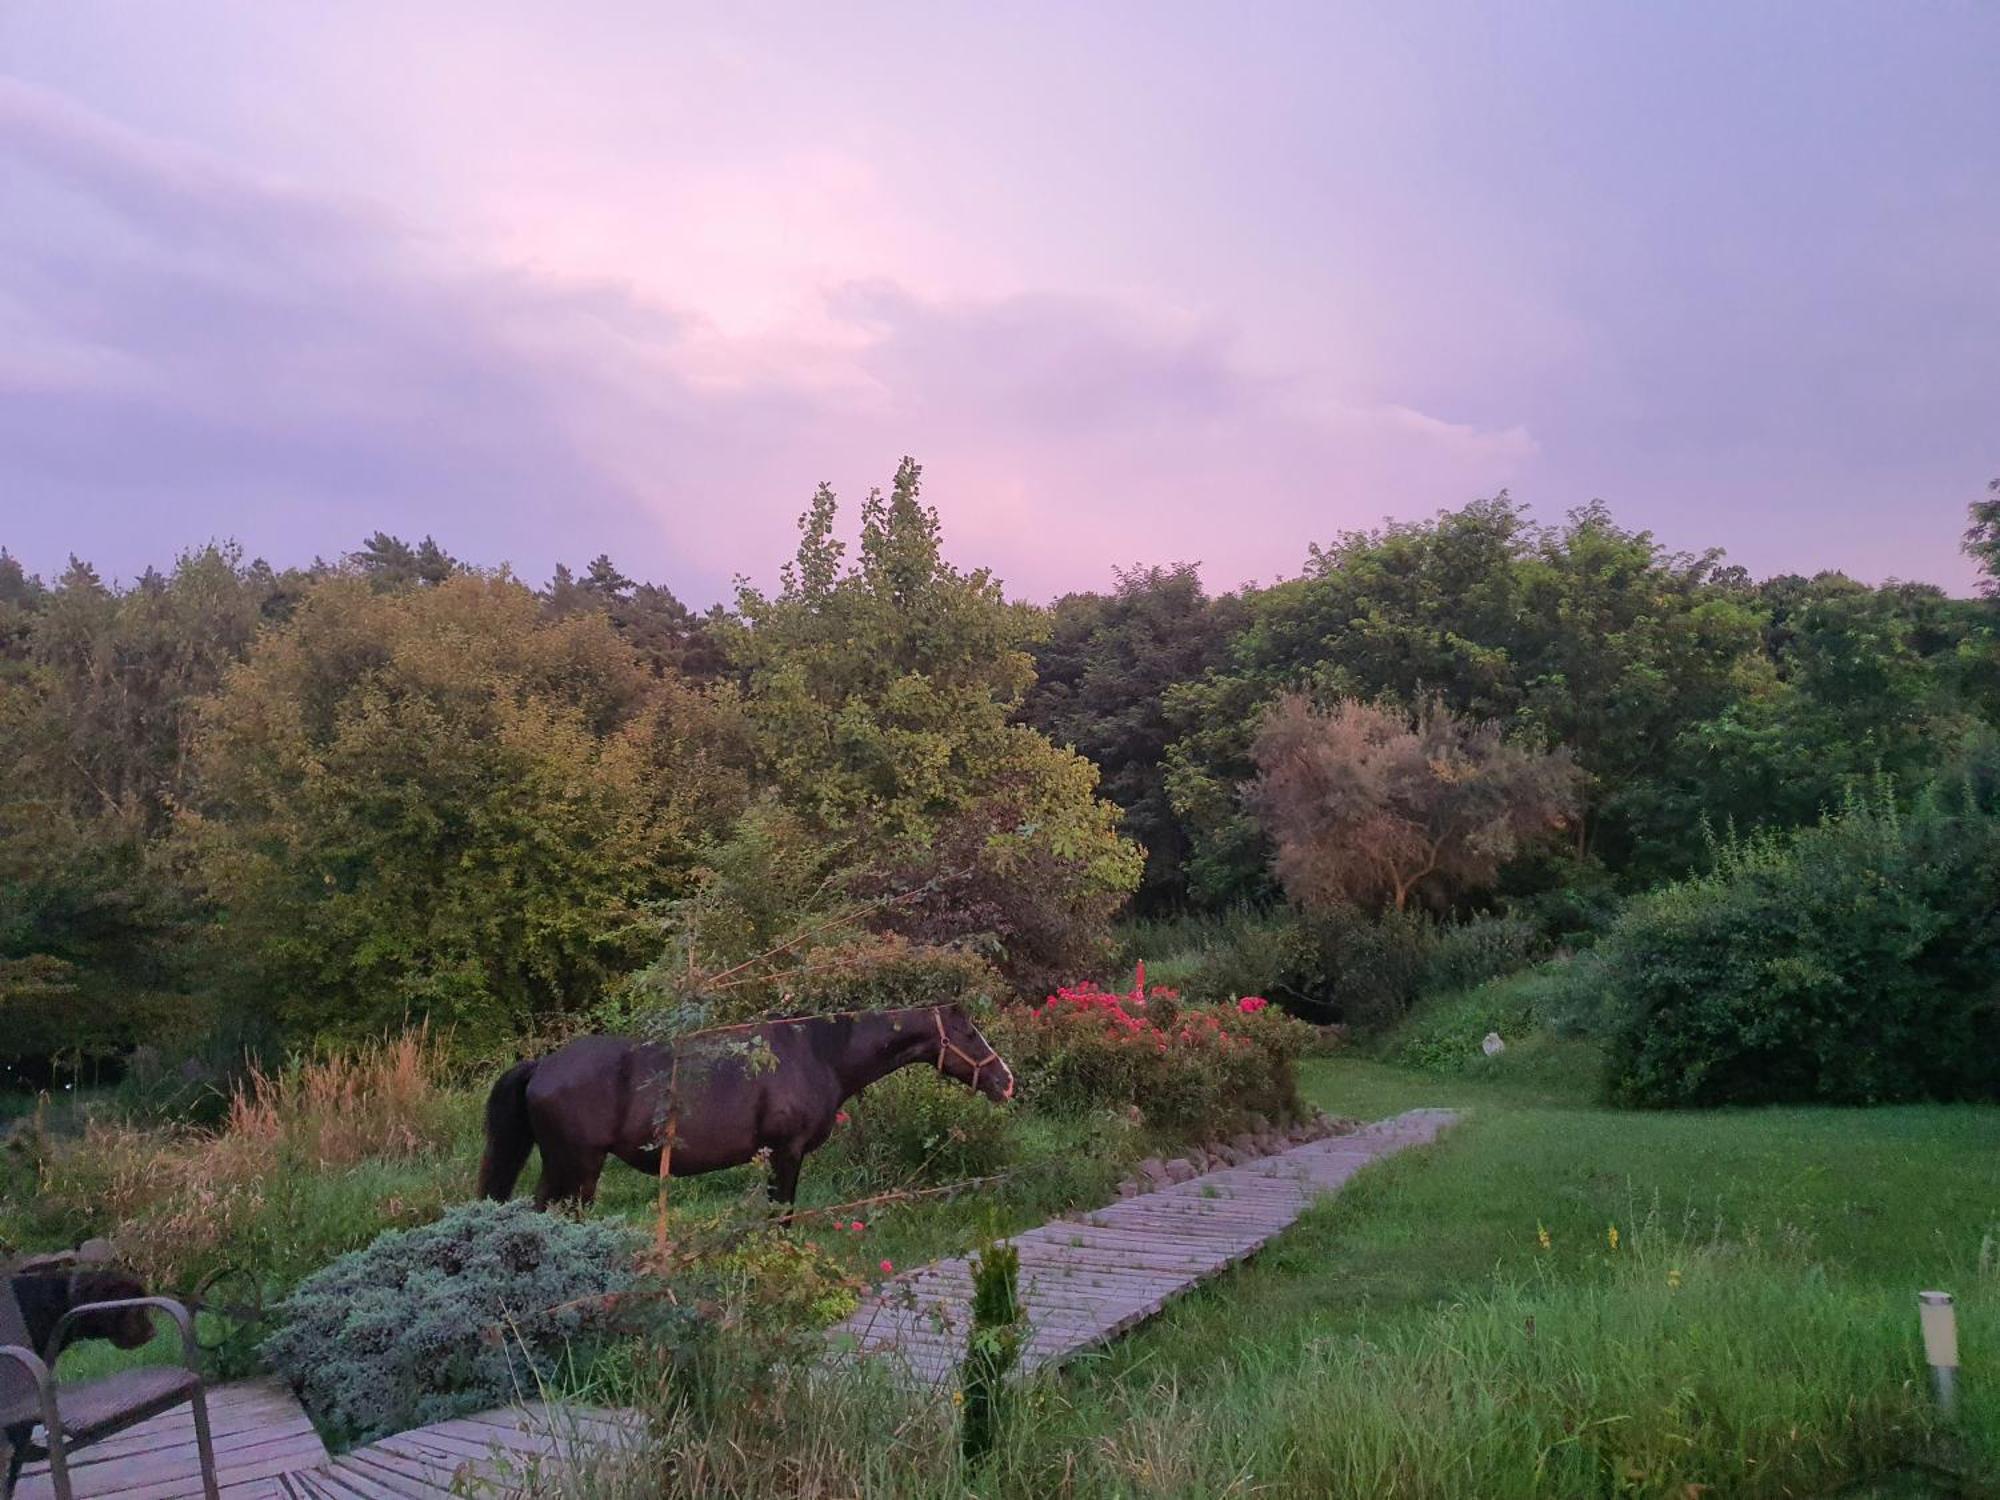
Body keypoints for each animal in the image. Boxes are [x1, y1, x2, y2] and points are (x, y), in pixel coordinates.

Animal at [472, 1004, 1016, 1216]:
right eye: (970, 1034)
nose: (1006, 1081)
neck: (818, 1053)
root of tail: (543, 1065)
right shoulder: (786, 1151)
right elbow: (783, 1214)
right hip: (578, 1166)